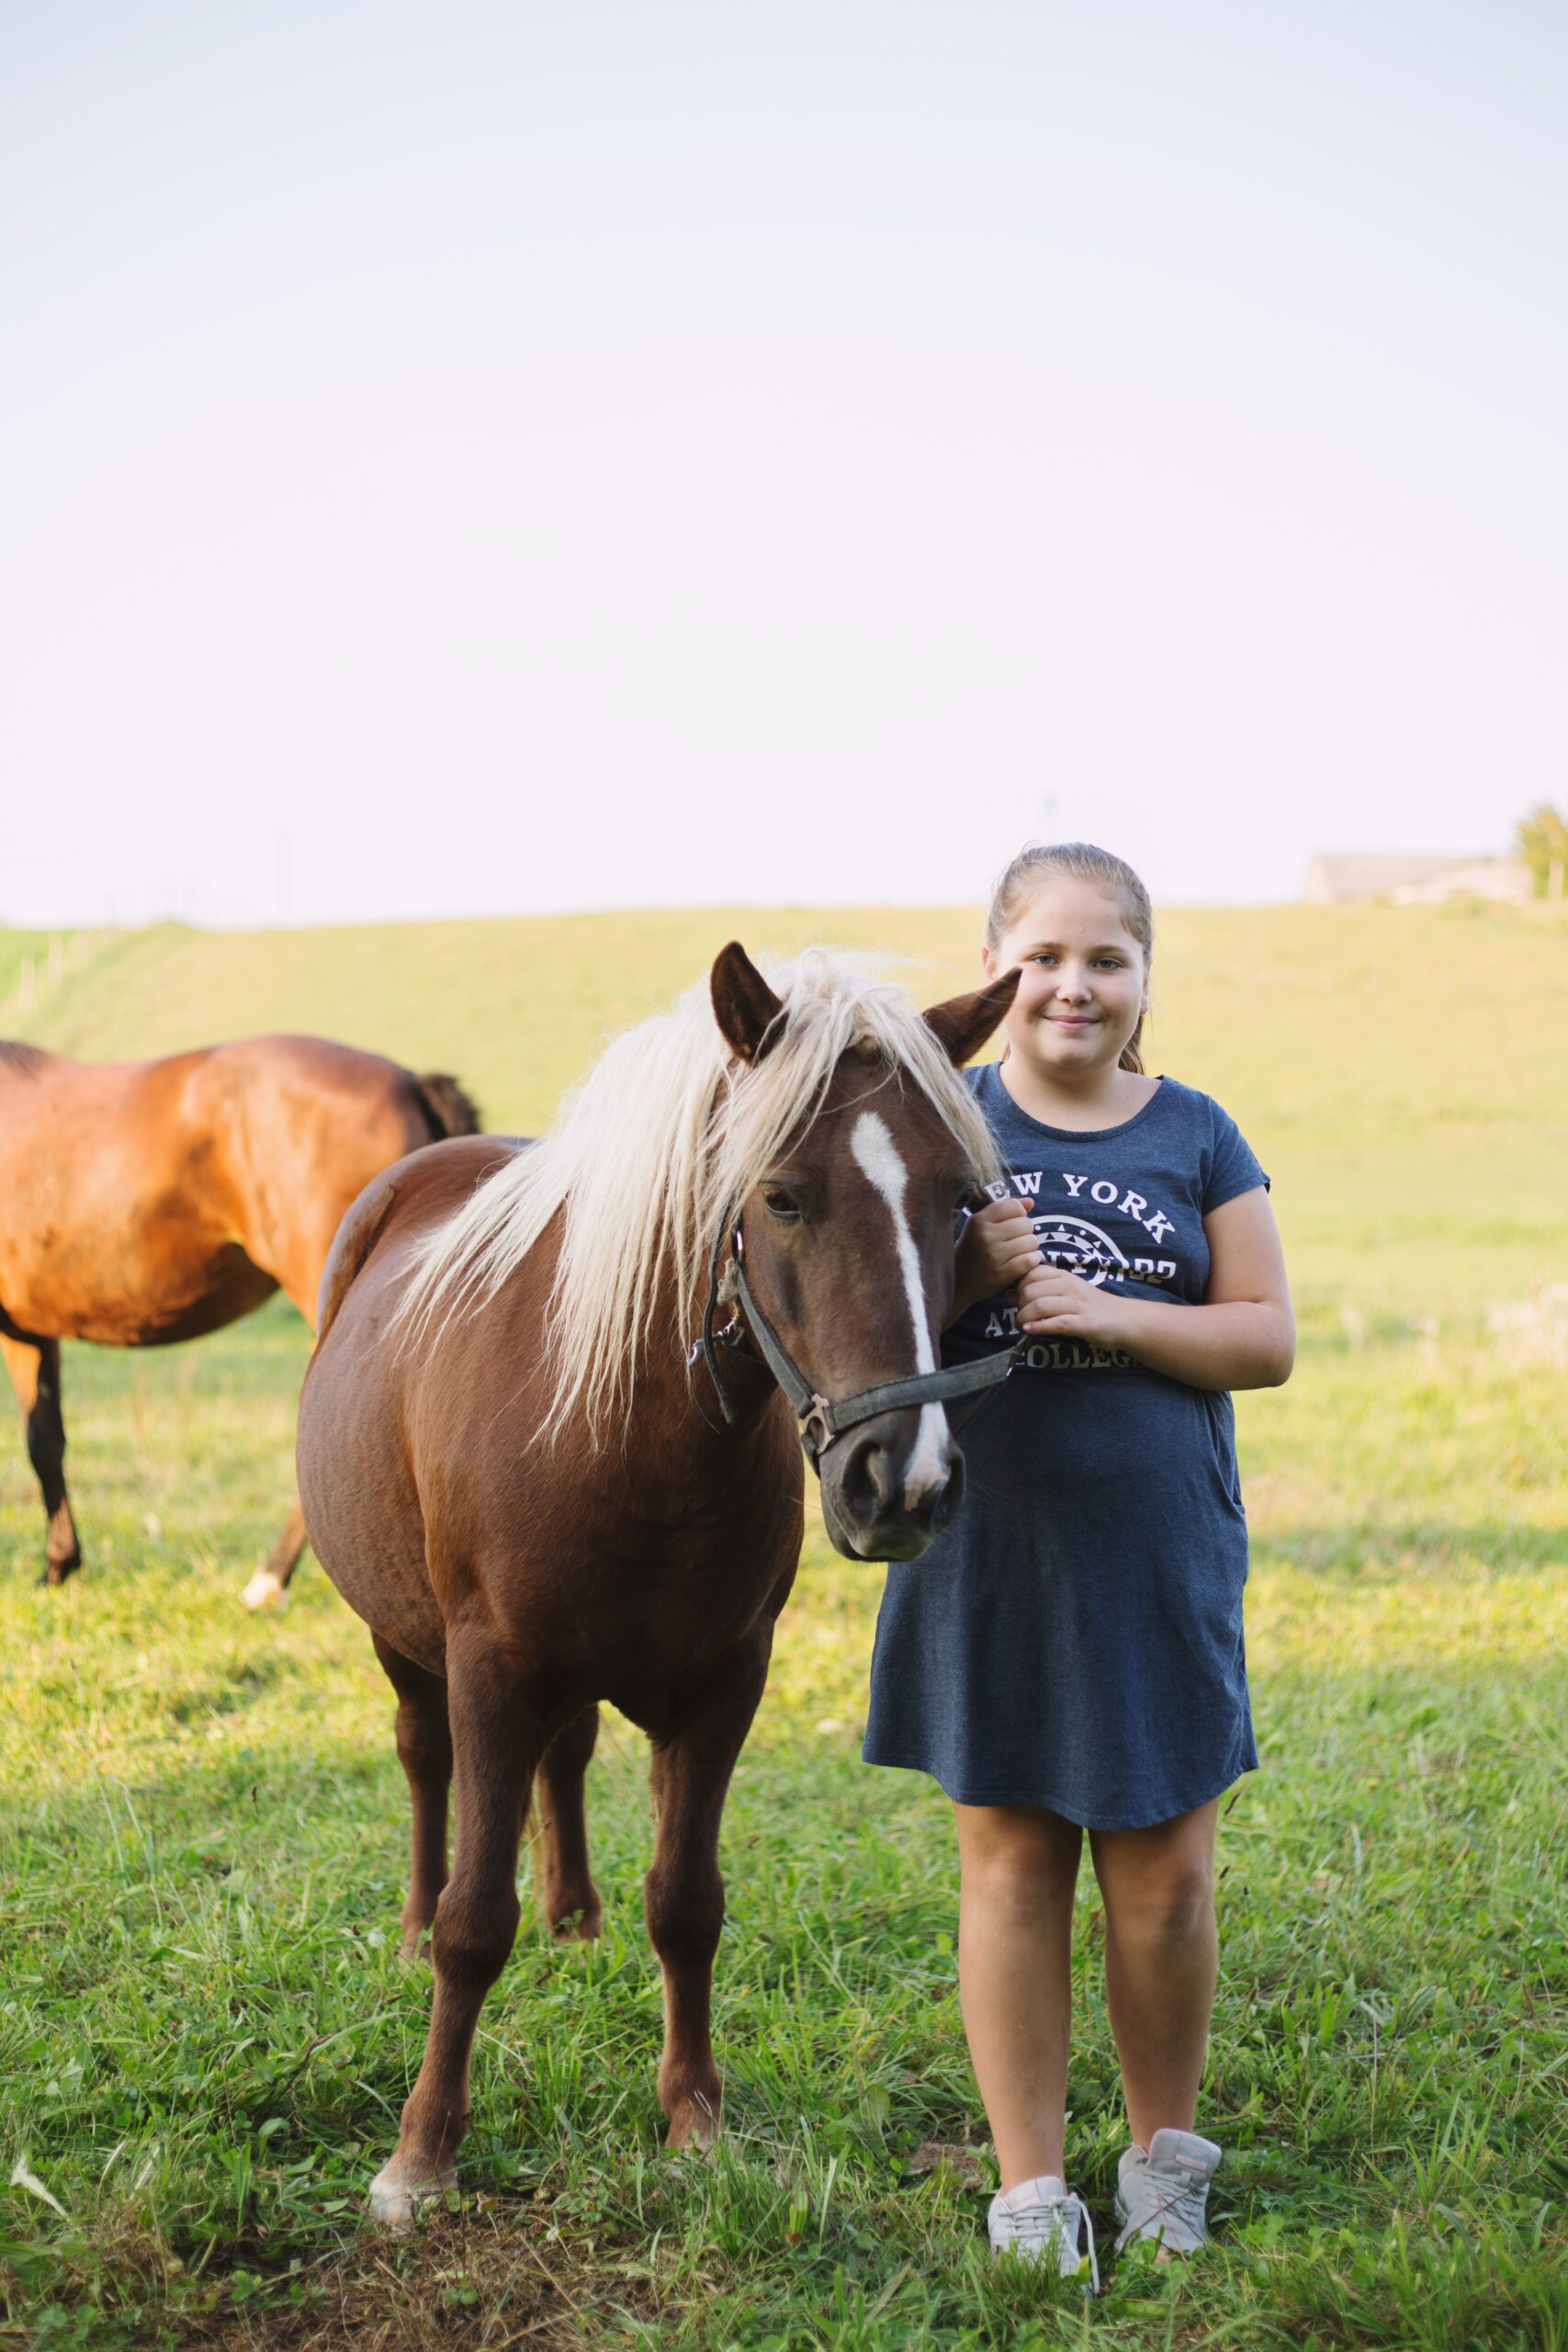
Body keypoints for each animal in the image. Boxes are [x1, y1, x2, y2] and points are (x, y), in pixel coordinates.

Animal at [295, 941, 1019, 2226]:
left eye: (958, 1202)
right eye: (781, 1194)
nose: (907, 1479)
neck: (625, 1430)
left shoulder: (723, 1685)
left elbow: (687, 1904)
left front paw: (695, 2119)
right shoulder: (491, 1673)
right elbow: (475, 1926)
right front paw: (421, 2154)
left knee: (569, 1756)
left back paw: (574, 1916)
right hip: (404, 1641)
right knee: (424, 1764)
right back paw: (414, 1918)